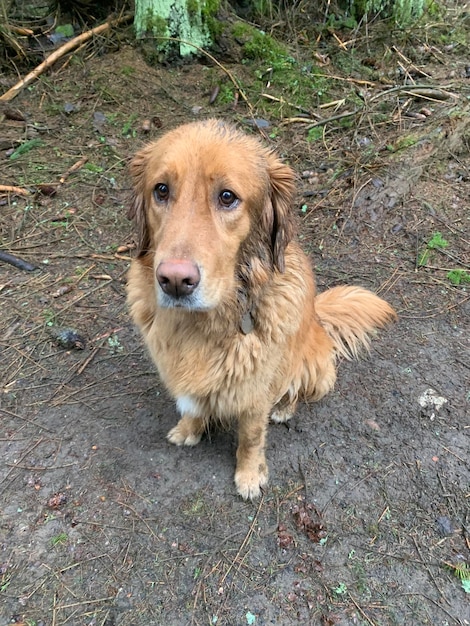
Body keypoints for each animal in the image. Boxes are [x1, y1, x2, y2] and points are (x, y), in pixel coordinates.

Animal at [126, 118, 396, 498]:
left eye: (227, 197)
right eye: (161, 190)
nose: (175, 281)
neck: (206, 323)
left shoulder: (255, 394)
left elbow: (251, 438)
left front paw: (249, 475)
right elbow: (193, 407)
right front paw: (189, 429)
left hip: (313, 368)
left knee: (295, 389)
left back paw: (283, 408)